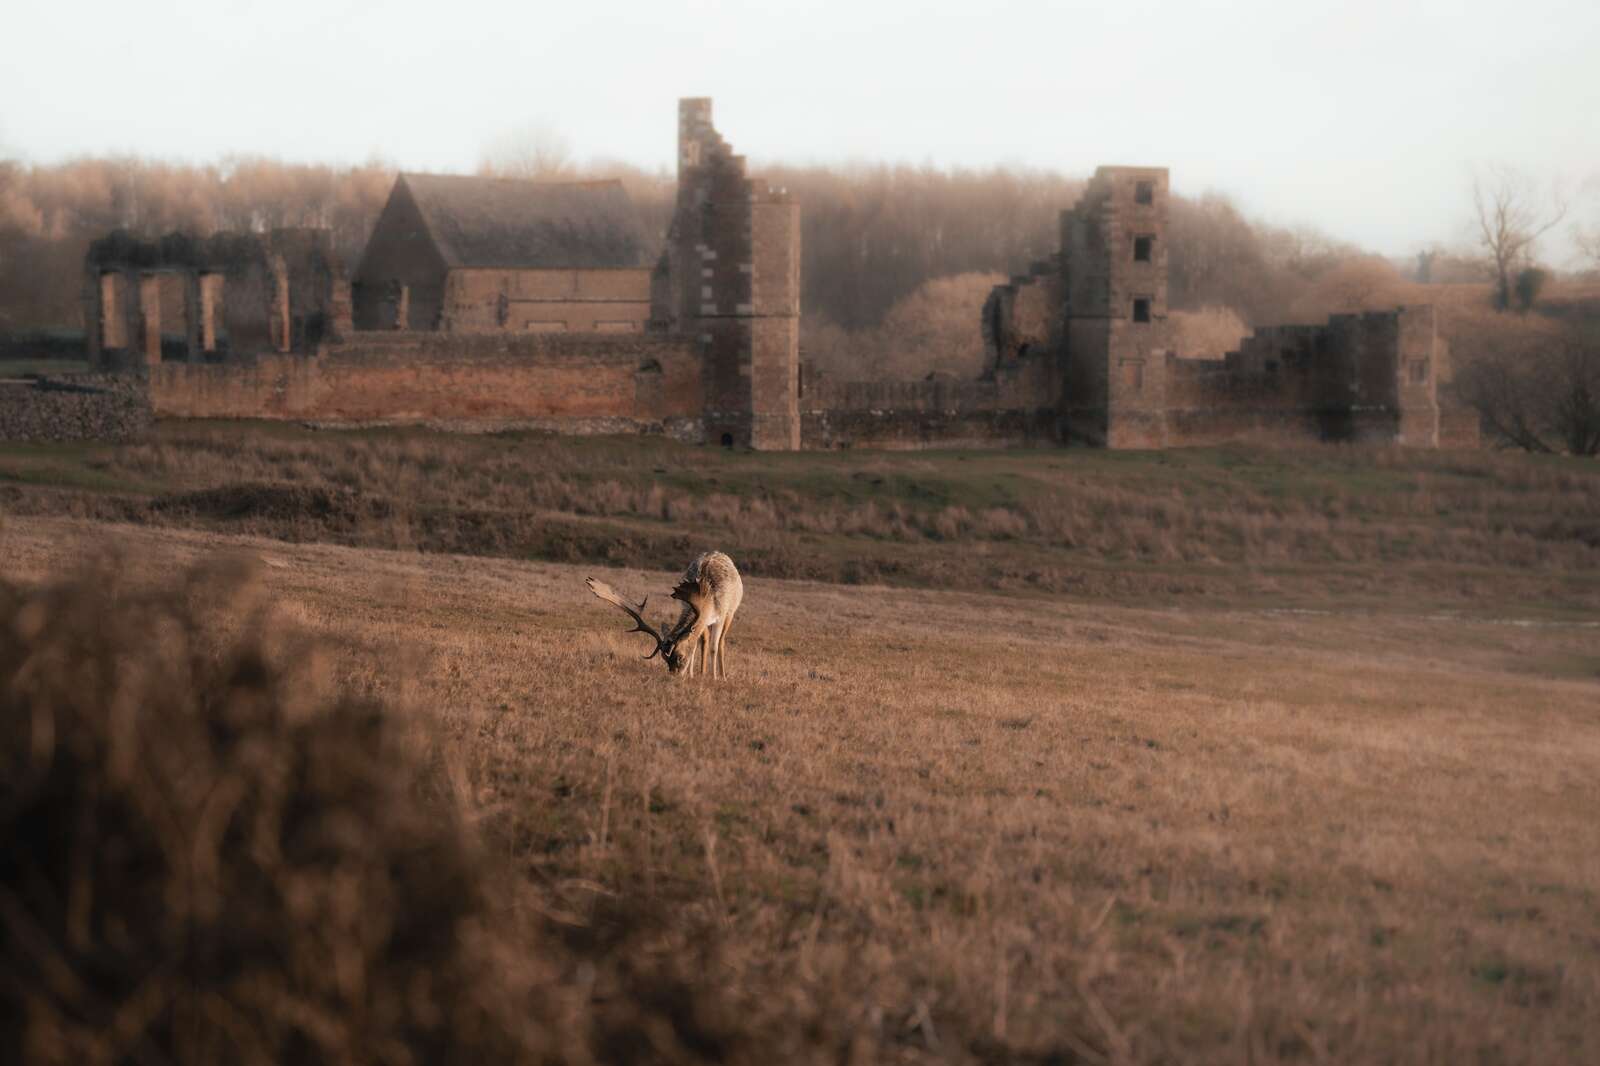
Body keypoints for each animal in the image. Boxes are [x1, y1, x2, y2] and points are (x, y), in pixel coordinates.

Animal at [586, 551, 743, 679]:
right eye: (665, 659)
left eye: (680, 657)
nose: (675, 675)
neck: (706, 601)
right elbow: (695, 644)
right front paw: (693, 675)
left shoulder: (721, 615)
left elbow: (713, 647)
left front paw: (714, 678)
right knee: (703, 640)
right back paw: (702, 672)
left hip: (731, 612)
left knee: (721, 642)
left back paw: (722, 676)